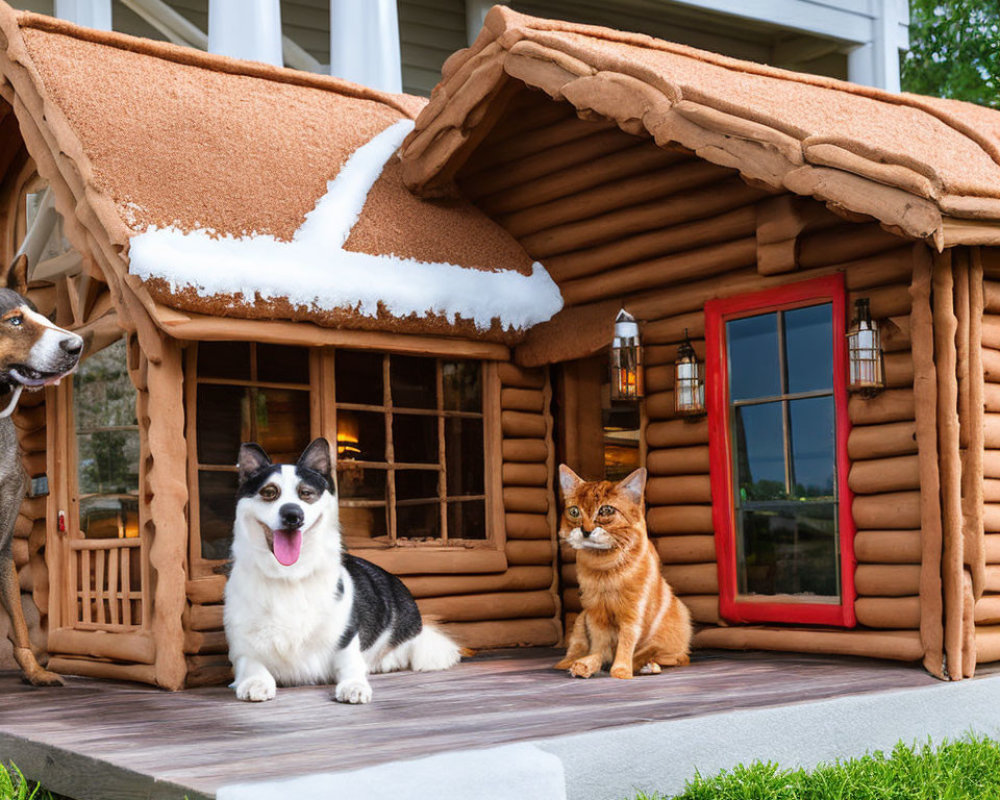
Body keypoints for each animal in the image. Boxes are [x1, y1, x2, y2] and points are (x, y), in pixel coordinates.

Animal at [225, 438, 462, 708]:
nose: (293, 515)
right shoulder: (242, 649)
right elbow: (252, 665)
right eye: (269, 492)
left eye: (306, 493)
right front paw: (255, 682)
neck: (290, 576)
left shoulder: (347, 639)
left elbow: (351, 666)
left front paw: (354, 685)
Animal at [556, 462, 688, 680]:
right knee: (575, 650)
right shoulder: (595, 613)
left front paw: (621, 671)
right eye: (574, 512)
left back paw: (649, 665)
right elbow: (598, 648)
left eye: (606, 510)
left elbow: (627, 642)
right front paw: (588, 665)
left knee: (675, 657)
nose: (585, 530)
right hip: (580, 622)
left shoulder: (633, 611)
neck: (604, 569)